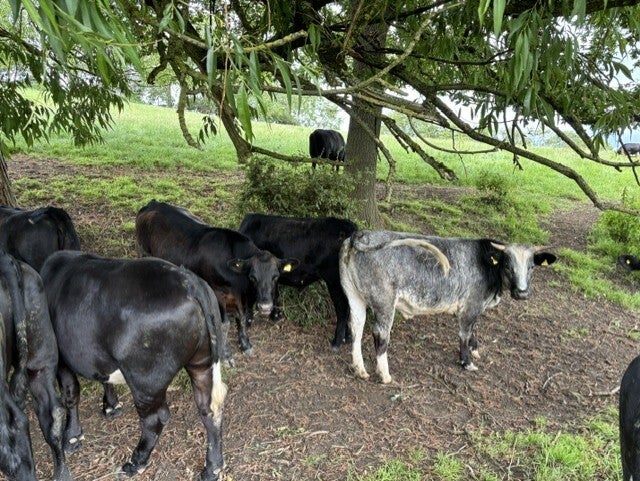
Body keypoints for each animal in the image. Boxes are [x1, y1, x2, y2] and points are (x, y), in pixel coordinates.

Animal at [40, 251, 227, 481]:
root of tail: (189, 281)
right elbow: (104, 378)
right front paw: (111, 406)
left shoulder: (60, 359)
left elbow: (70, 393)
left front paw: (72, 436)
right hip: (203, 362)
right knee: (209, 408)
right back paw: (212, 468)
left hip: (145, 378)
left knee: (155, 418)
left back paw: (136, 462)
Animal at [136, 200, 297, 355]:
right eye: (252, 277)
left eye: (275, 276)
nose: (265, 306)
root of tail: (153, 203)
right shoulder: (217, 291)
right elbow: (223, 323)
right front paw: (225, 351)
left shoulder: (239, 297)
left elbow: (242, 318)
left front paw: (245, 344)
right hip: (143, 251)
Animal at [239, 213, 358, 349]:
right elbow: (275, 293)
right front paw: (275, 316)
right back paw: (347, 337)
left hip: (335, 280)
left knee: (342, 307)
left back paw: (337, 342)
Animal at [339, 230, 556, 383]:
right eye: (508, 265)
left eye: (531, 267)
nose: (522, 292)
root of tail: (361, 234)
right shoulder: (471, 305)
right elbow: (465, 333)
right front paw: (467, 362)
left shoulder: (475, 307)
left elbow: (474, 328)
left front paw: (475, 350)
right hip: (384, 300)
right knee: (380, 333)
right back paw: (384, 375)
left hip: (353, 295)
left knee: (356, 327)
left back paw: (360, 369)